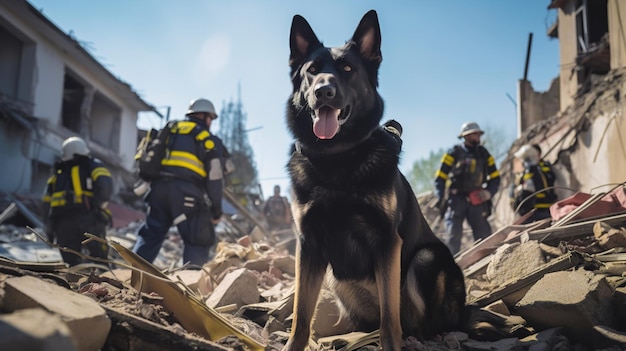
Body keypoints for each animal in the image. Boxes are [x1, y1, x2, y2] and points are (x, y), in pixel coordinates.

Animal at [280, 9, 466, 351]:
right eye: (312, 71)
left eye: (348, 69)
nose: (323, 92)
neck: (336, 158)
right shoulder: (308, 246)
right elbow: (301, 315)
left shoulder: (387, 242)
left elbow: (389, 319)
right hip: (338, 280)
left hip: (426, 258)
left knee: (420, 320)